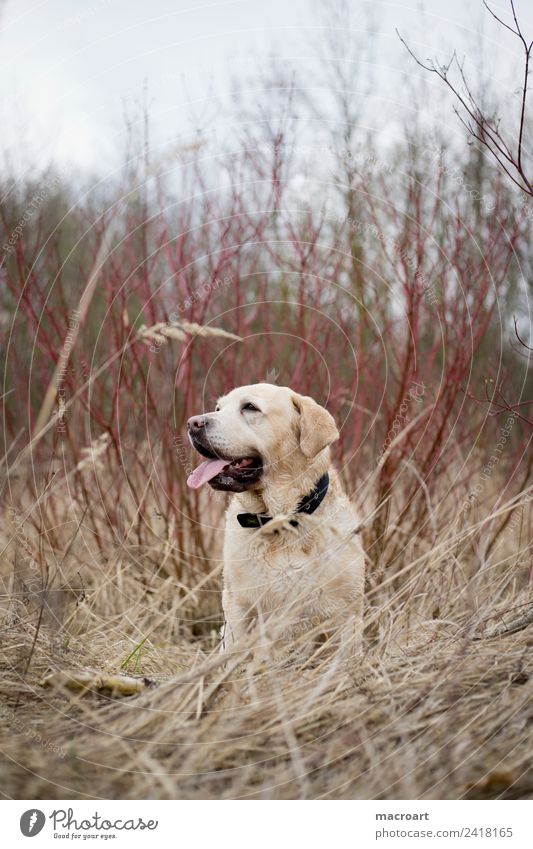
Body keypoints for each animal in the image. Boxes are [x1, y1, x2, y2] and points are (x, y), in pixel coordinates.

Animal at [185, 382, 364, 656]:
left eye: (250, 407)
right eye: (218, 408)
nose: (192, 423)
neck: (279, 519)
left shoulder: (348, 614)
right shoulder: (238, 606)